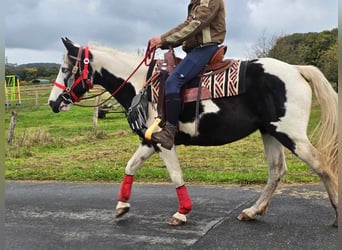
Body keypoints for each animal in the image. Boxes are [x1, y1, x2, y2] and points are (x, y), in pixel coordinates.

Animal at [48, 38, 340, 228]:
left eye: (65, 68)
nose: (53, 103)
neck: (142, 84)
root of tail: (296, 70)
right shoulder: (149, 142)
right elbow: (130, 166)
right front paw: (122, 206)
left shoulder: (163, 143)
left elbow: (175, 174)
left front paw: (182, 213)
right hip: (270, 132)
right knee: (277, 171)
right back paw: (252, 211)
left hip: (291, 135)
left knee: (321, 165)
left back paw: (336, 214)